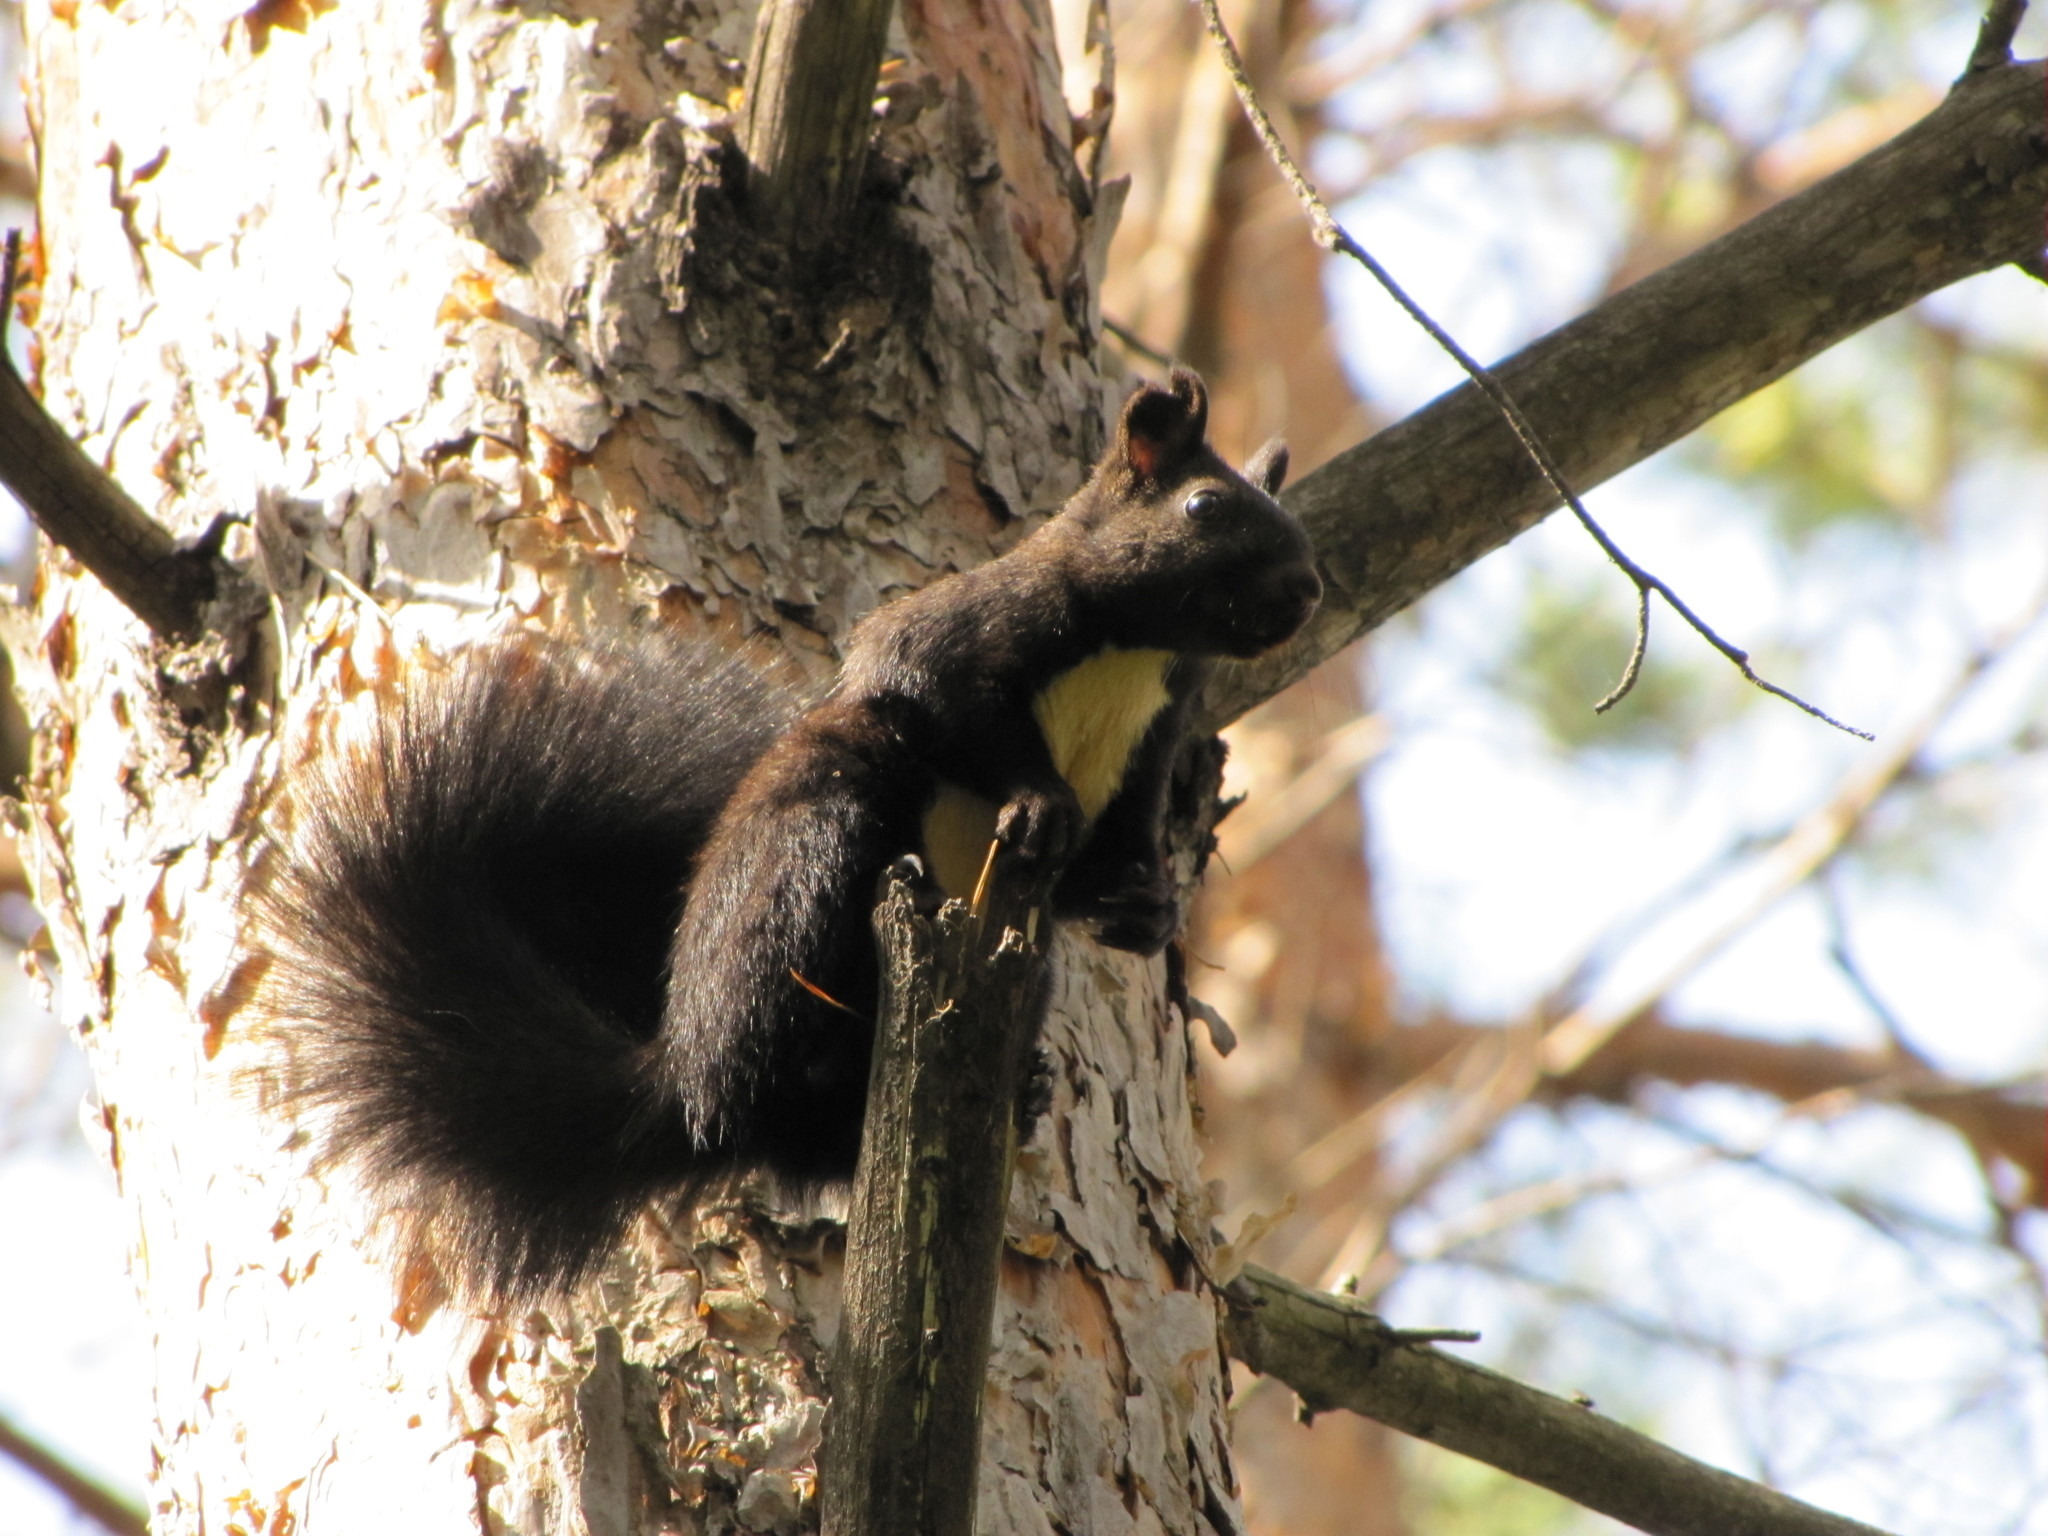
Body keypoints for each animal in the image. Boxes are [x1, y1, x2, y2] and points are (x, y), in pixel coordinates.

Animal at [260, 366, 1310, 1302]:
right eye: (1205, 506)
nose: (1306, 588)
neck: (1133, 654)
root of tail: (681, 1079)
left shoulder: (1149, 752)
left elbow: (1109, 857)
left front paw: (1146, 910)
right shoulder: (962, 632)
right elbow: (951, 697)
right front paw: (1038, 800)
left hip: (1013, 962)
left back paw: (1022, 1086)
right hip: (814, 854)